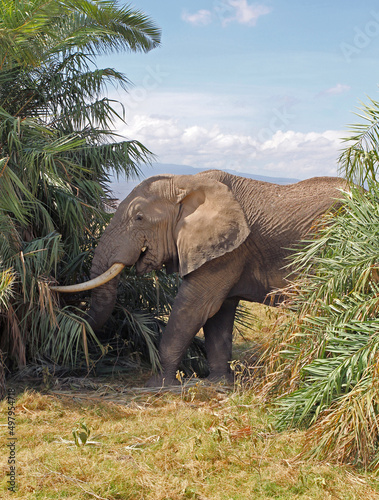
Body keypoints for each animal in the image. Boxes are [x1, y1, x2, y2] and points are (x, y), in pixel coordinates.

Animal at [52, 170, 348, 384]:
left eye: (138, 218)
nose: (52, 285)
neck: (187, 183)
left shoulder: (229, 250)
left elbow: (194, 307)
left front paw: (158, 385)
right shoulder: (224, 250)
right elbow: (218, 315)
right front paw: (218, 384)